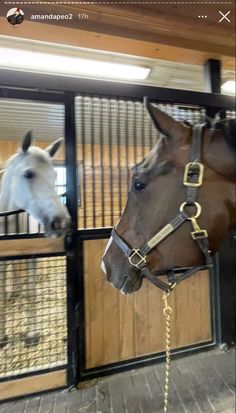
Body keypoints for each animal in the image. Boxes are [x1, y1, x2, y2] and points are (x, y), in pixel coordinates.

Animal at [0, 131, 70, 344]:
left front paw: (32, 334)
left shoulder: (33, 255)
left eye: (55, 175)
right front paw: (3, 336)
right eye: (29, 174)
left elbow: (31, 293)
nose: (61, 222)